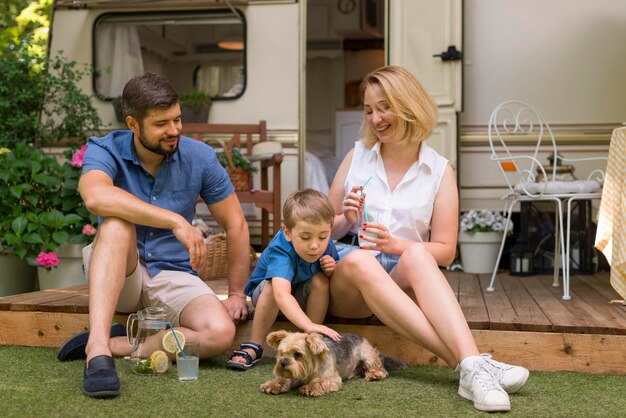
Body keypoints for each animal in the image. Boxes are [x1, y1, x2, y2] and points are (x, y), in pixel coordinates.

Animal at [258, 332, 404, 396]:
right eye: (281, 352)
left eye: (298, 354)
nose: (282, 363)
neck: (309, 369)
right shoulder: (294, 375)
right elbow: (284, 380)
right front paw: (272, 385)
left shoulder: (331, 378)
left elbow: (320, 381)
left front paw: (309, 387)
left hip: (368, 356)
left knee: (381, 370)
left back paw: (374, 374)